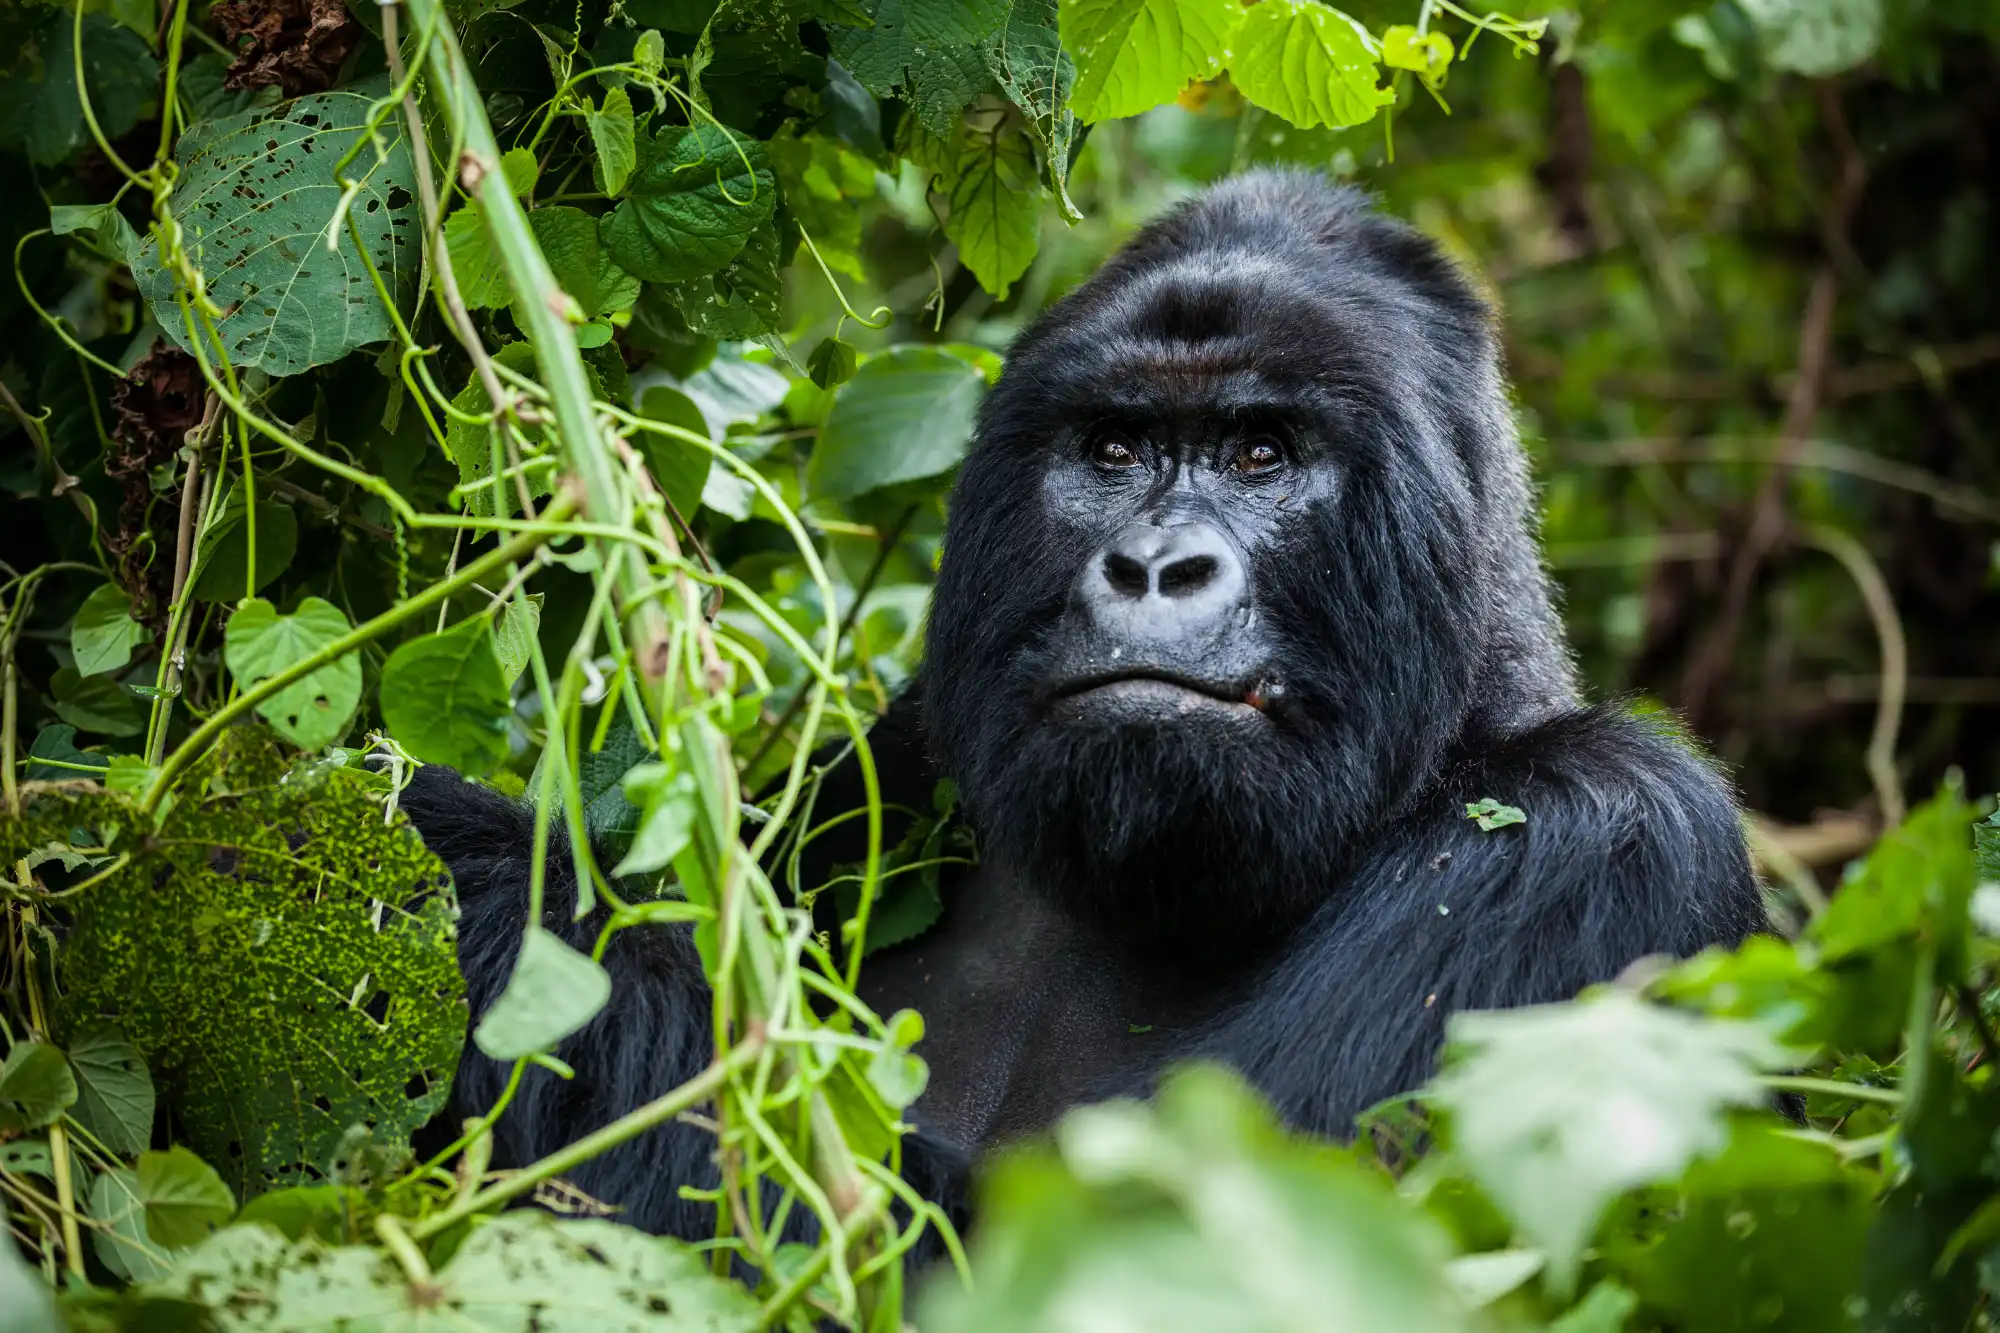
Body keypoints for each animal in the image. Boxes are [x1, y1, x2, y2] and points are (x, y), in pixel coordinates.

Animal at [402, 171, 1768, 1240]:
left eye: (1260, 452)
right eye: (1113, 449)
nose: (1153, 567)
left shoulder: (1603, 837)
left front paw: (465, 860)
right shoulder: (902, 758)